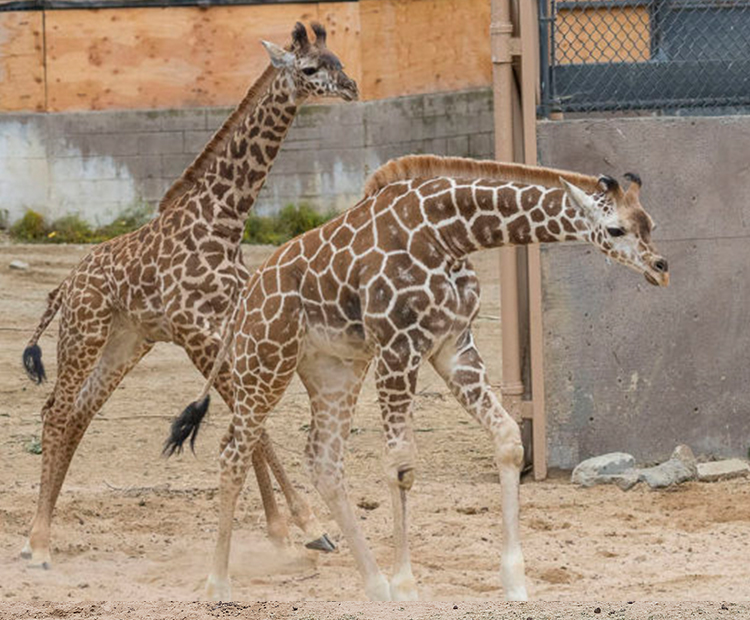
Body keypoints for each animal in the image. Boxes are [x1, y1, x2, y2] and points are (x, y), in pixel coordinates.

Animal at [18, 19, 358, 572]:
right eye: (310, 69)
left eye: (339, 63)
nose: (351, 88)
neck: (226, 221)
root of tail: (64, 286)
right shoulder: (194, 332)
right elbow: (250, 423)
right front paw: (305, 528)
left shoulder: (226, 327)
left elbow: (251, 423)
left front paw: (289, 532)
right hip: (83, 334)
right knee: (56, 413)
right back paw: (39, 543)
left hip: (125, 343)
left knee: (80, 415)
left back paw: (36, 538)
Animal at [167, 154, 672, 600]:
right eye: (616, 228)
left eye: (650, 221)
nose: (660, 269)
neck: (451, 234)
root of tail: (245, 299)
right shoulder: (398, 348)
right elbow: (401, 465)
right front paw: (408, 585)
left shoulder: (453, 347)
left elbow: (509, 440)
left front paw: (515, 582)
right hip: (266, 360)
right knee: (233, 450)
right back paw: (218, 585)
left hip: (333, 369)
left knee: (323, 460)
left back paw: (375, 587)